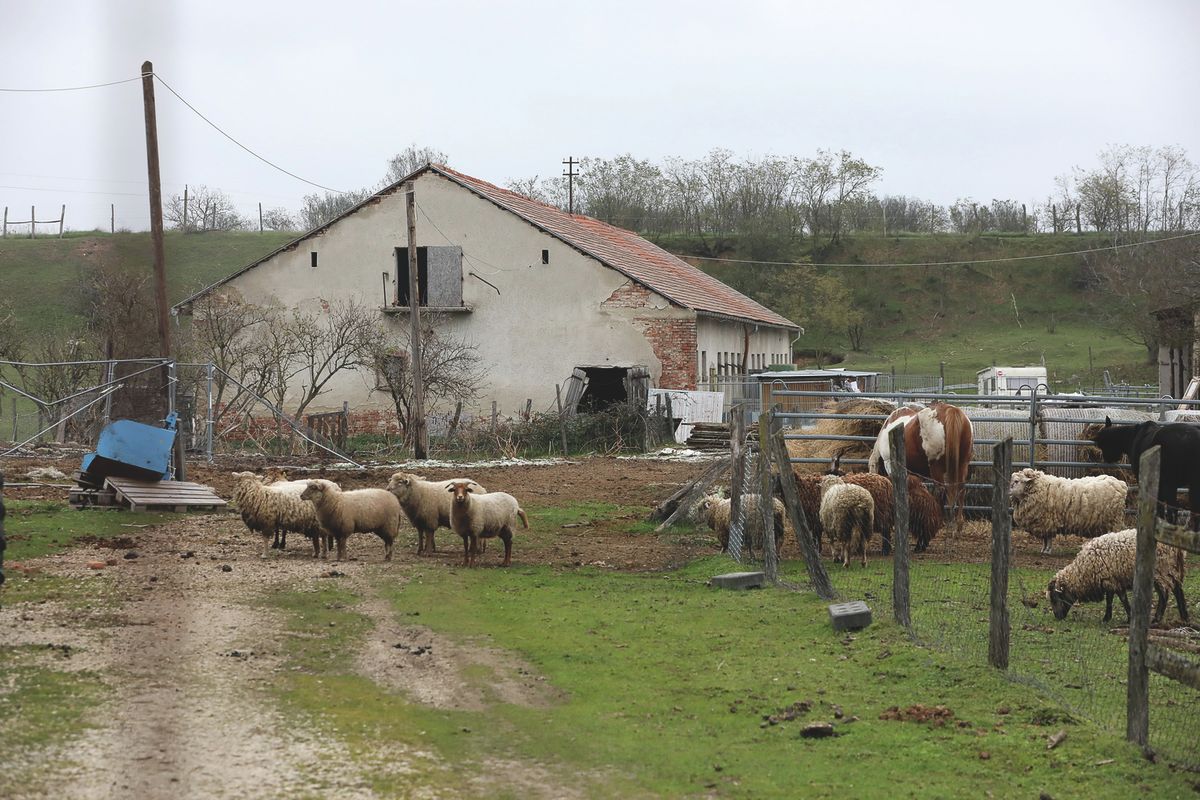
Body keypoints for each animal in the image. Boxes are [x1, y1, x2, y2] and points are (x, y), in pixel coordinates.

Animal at [873, 400, 974, 532]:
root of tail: (951, 410)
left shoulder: (890, 466)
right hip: (963, 464)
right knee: (961, 489)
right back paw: (959, 523)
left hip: (936, 467)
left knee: (940, 491)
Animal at [1046, 532, 1185, 623]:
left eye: (1054, 598)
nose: (1057, 617)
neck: (1082, 572)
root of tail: (1176, 547)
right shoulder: (1111, 580)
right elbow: (1114, 599)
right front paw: (1114, 617)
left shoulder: (1112, 581)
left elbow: (1118, 600)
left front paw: (1121, 618)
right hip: (1170, 570)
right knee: (1177, 589)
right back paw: (1185, 618)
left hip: (1161, 571)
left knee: (1164, 594)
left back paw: (1157, 619)